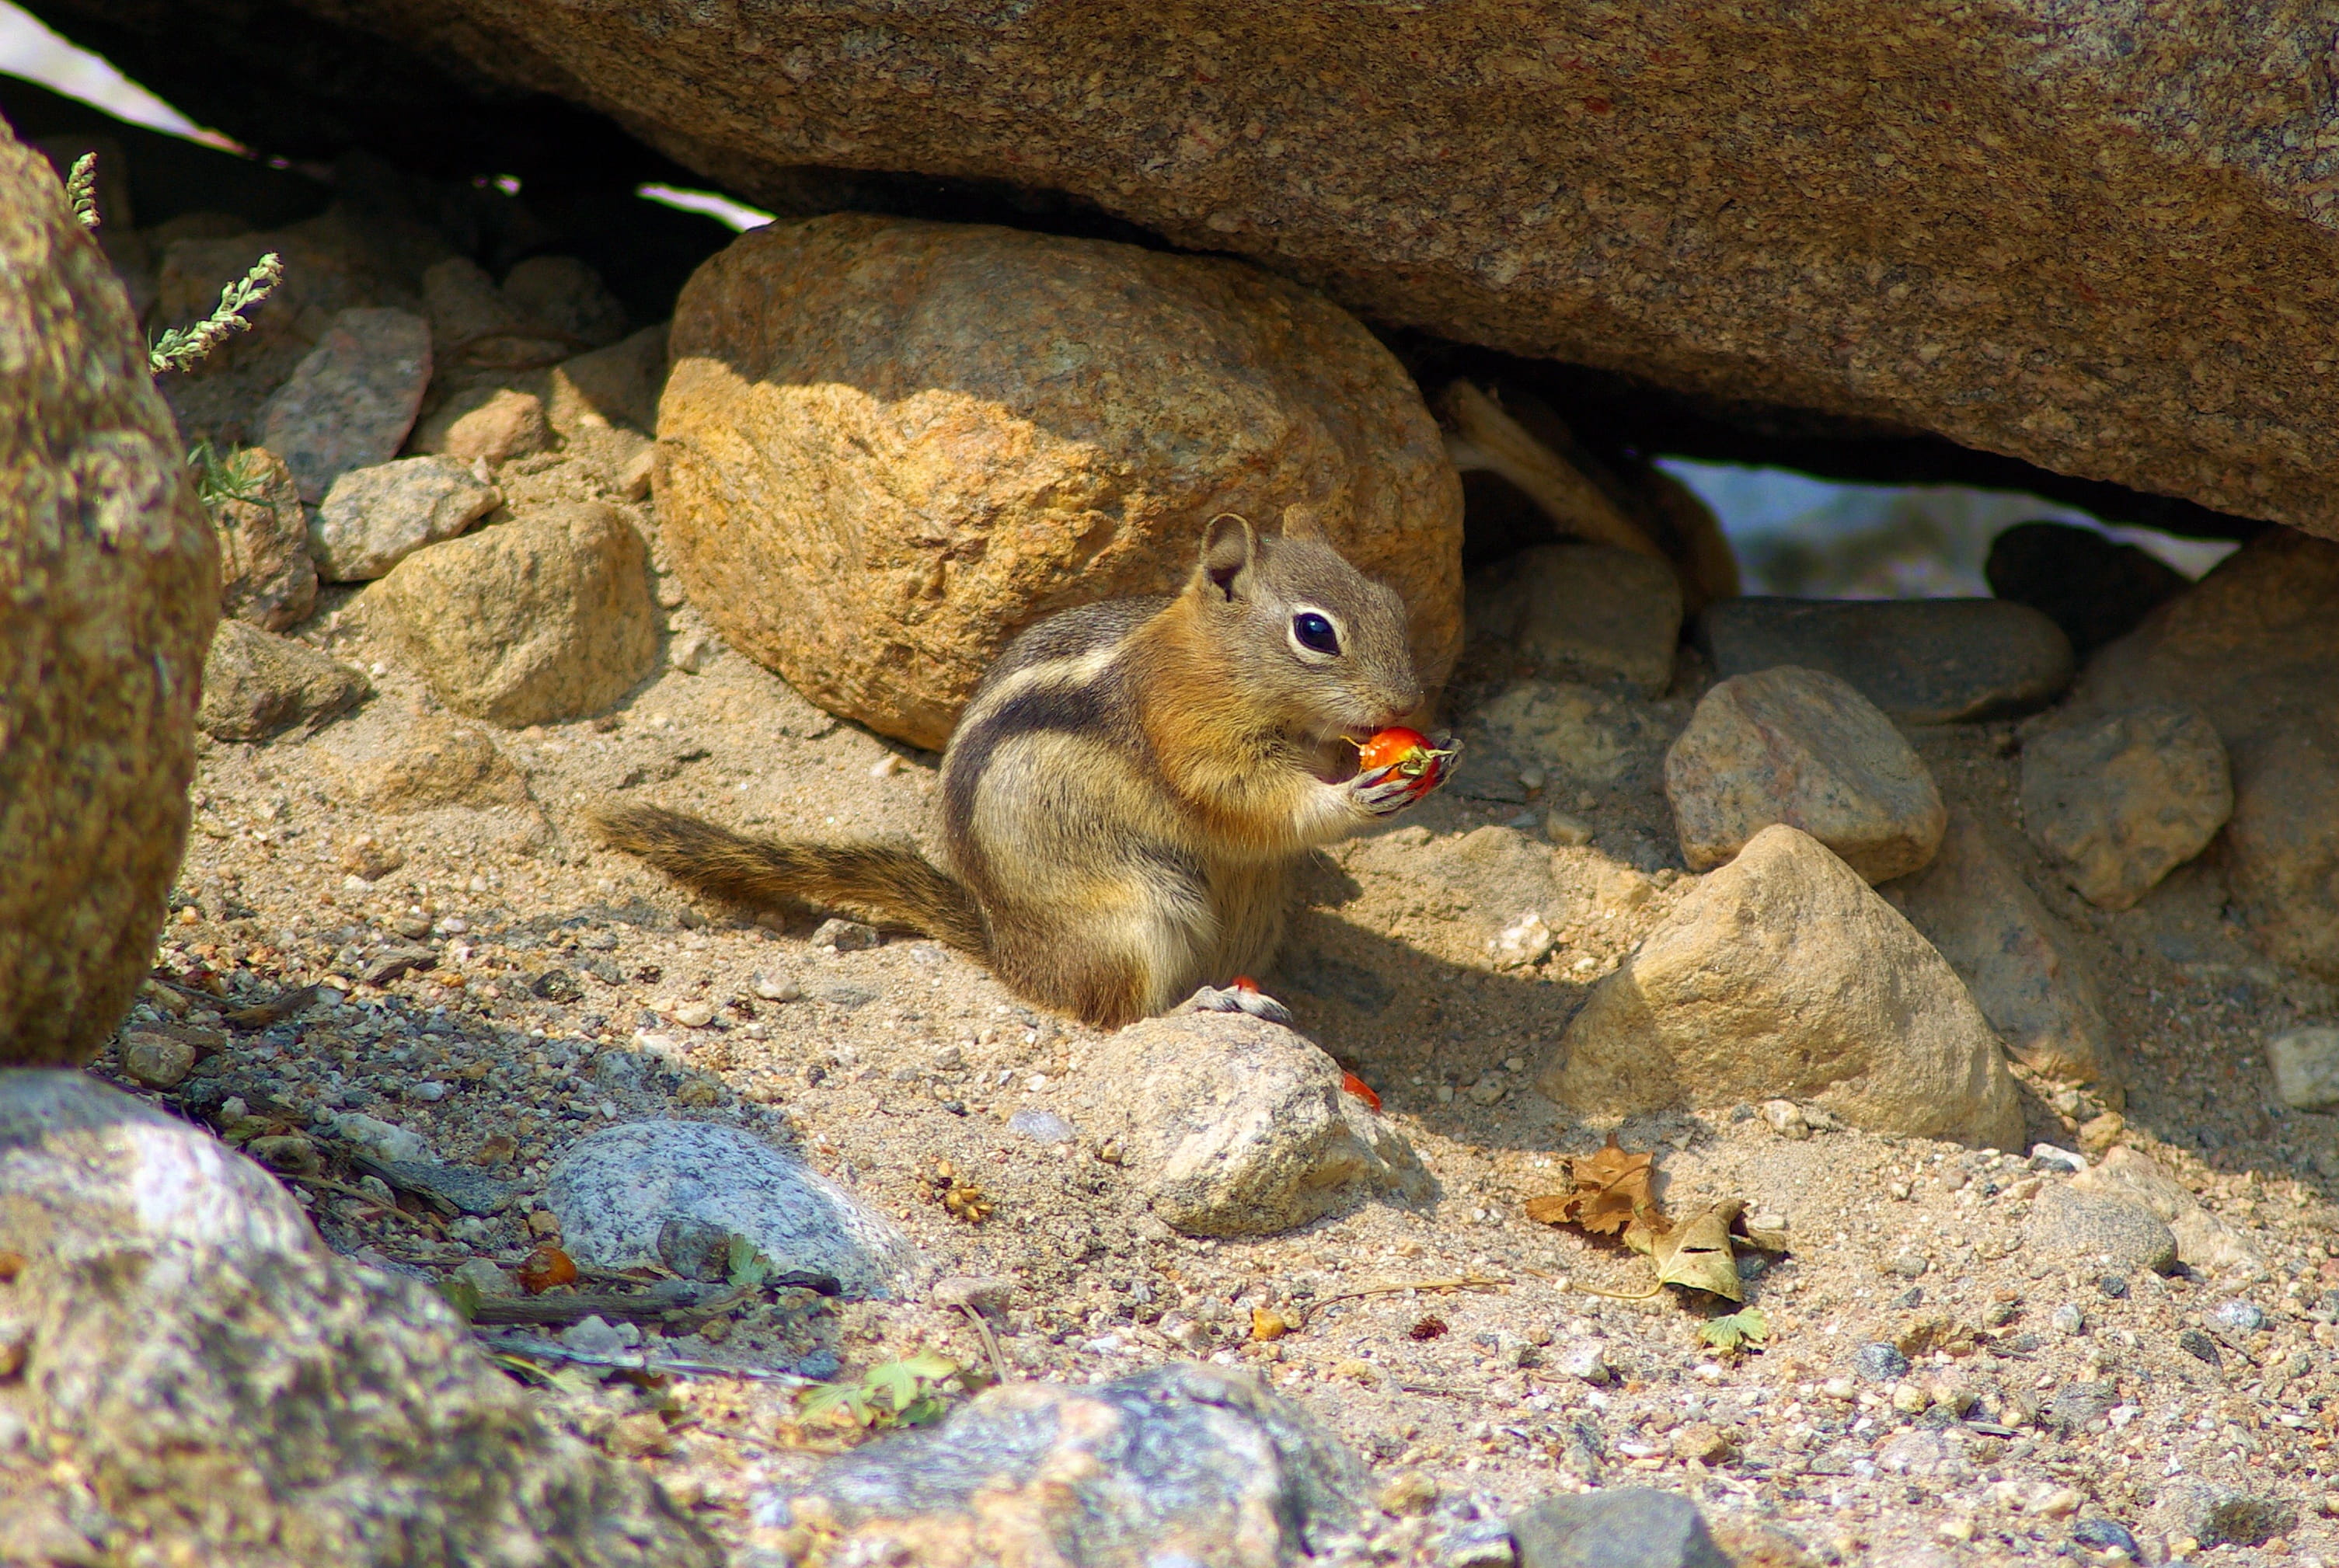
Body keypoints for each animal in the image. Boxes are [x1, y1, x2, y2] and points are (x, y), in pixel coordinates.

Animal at [589, 514, 1454, 1029]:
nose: (1409, 699)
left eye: (1388, 599)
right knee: (1122, 1012)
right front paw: (1361, 793)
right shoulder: (1189, 741)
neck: (1211, 662)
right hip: (1139, 921)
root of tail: (1012, 954)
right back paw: (1205, 1003)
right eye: (1315, 632)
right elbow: (1252, 804)